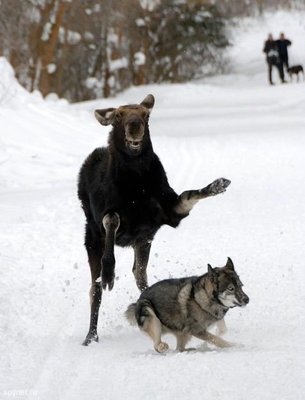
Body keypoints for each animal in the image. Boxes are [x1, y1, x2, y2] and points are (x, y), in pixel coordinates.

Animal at [77, 94, 229, 346]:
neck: (136, 183)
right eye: (118, 115)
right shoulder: (105, 216)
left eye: (146, 115)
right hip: (92, 239)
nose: (134, 126)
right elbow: (112, 220)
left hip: (143, 243)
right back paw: (90, 335)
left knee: (140, 277)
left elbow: (191, 194)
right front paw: (110, 270)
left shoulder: (168, 213)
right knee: (95, 289)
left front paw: (217, 185)